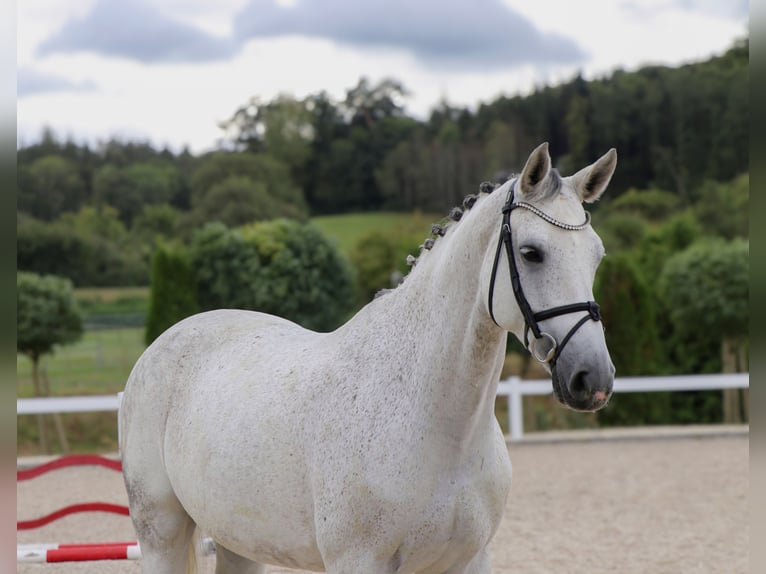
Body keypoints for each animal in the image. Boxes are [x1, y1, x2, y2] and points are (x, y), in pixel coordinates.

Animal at [123, 144, 620, 574]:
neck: (441, 428)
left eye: (598, 256)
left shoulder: (470, 560)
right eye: (531, 253)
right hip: (160, 534)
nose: (592, 377)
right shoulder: (359, 561)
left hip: (240, 543)